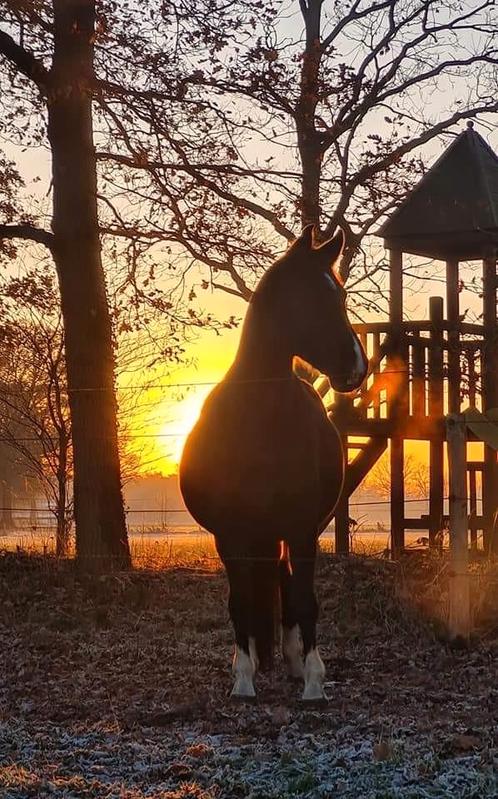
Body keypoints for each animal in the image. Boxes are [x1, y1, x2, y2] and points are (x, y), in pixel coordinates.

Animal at [181, 225, 368, 700]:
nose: (357, 367)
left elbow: (304, 601)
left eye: (340, 295)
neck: (261, 421)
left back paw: (293, 662)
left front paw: (314, 681)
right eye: (314, 297)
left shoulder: (302, 528)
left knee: (285, 584)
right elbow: (240, 603)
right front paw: (243, 678)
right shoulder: (230, 535)